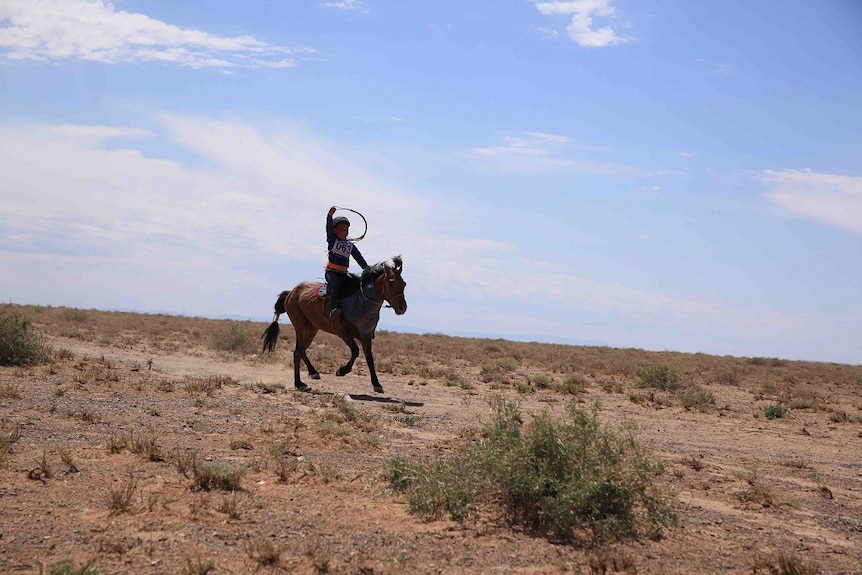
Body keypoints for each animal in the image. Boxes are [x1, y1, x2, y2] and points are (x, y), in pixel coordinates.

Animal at [264, 258, 408, 396]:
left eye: (404, 284)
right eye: (391, 283)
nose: (402, 307)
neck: (360, 302)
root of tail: (291, 292)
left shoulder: (365, 336)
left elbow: (370, 359)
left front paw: (377, 384)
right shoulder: (344, 333)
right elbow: (355, 351)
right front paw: (342, 370)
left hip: (312, 328)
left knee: (300, 350)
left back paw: (307, 376)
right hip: (299, 325)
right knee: (298, 351)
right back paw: (301, 381)